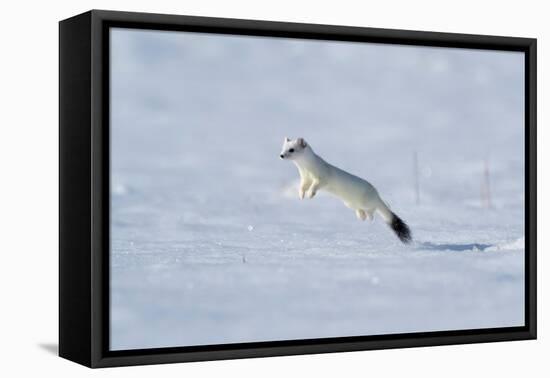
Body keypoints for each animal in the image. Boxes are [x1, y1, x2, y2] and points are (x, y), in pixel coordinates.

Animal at [280, 137, 414, 244]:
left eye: (291, 149)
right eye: (282, 148)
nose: (281, 155)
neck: (307, 170)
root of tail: (376, 194)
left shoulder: (322, 177)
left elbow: (316, 185)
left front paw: (311, 193)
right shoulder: (304, 178)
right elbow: (302, 186)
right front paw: (302, 195)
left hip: (367, 201)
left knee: (374, 209)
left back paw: (369, 216)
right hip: (350, 203)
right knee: (362, 210)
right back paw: (361, 216)